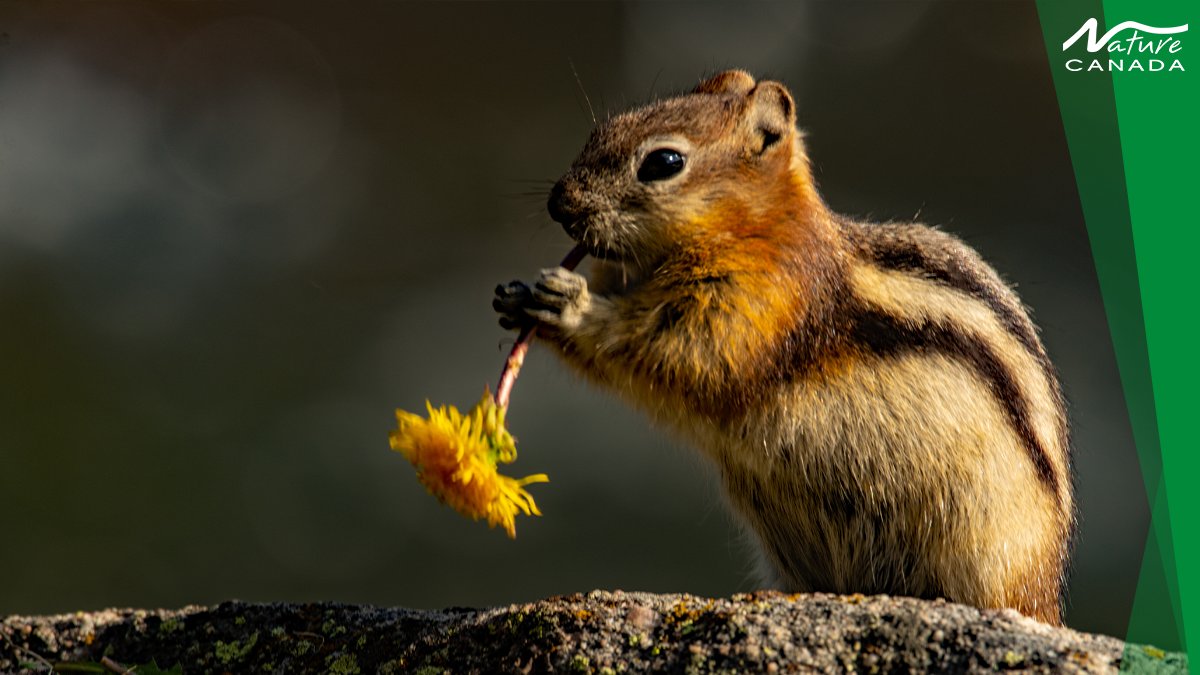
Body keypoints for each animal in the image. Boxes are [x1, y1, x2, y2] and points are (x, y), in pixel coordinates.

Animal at [494, 70, 1074, 625]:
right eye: (603, 130)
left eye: (664, 162)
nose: (560, 204)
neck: (752, 229)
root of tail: (1044, 594)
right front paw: (517, 297)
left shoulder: (756, 304)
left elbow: (677, 352)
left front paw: (570, 304)